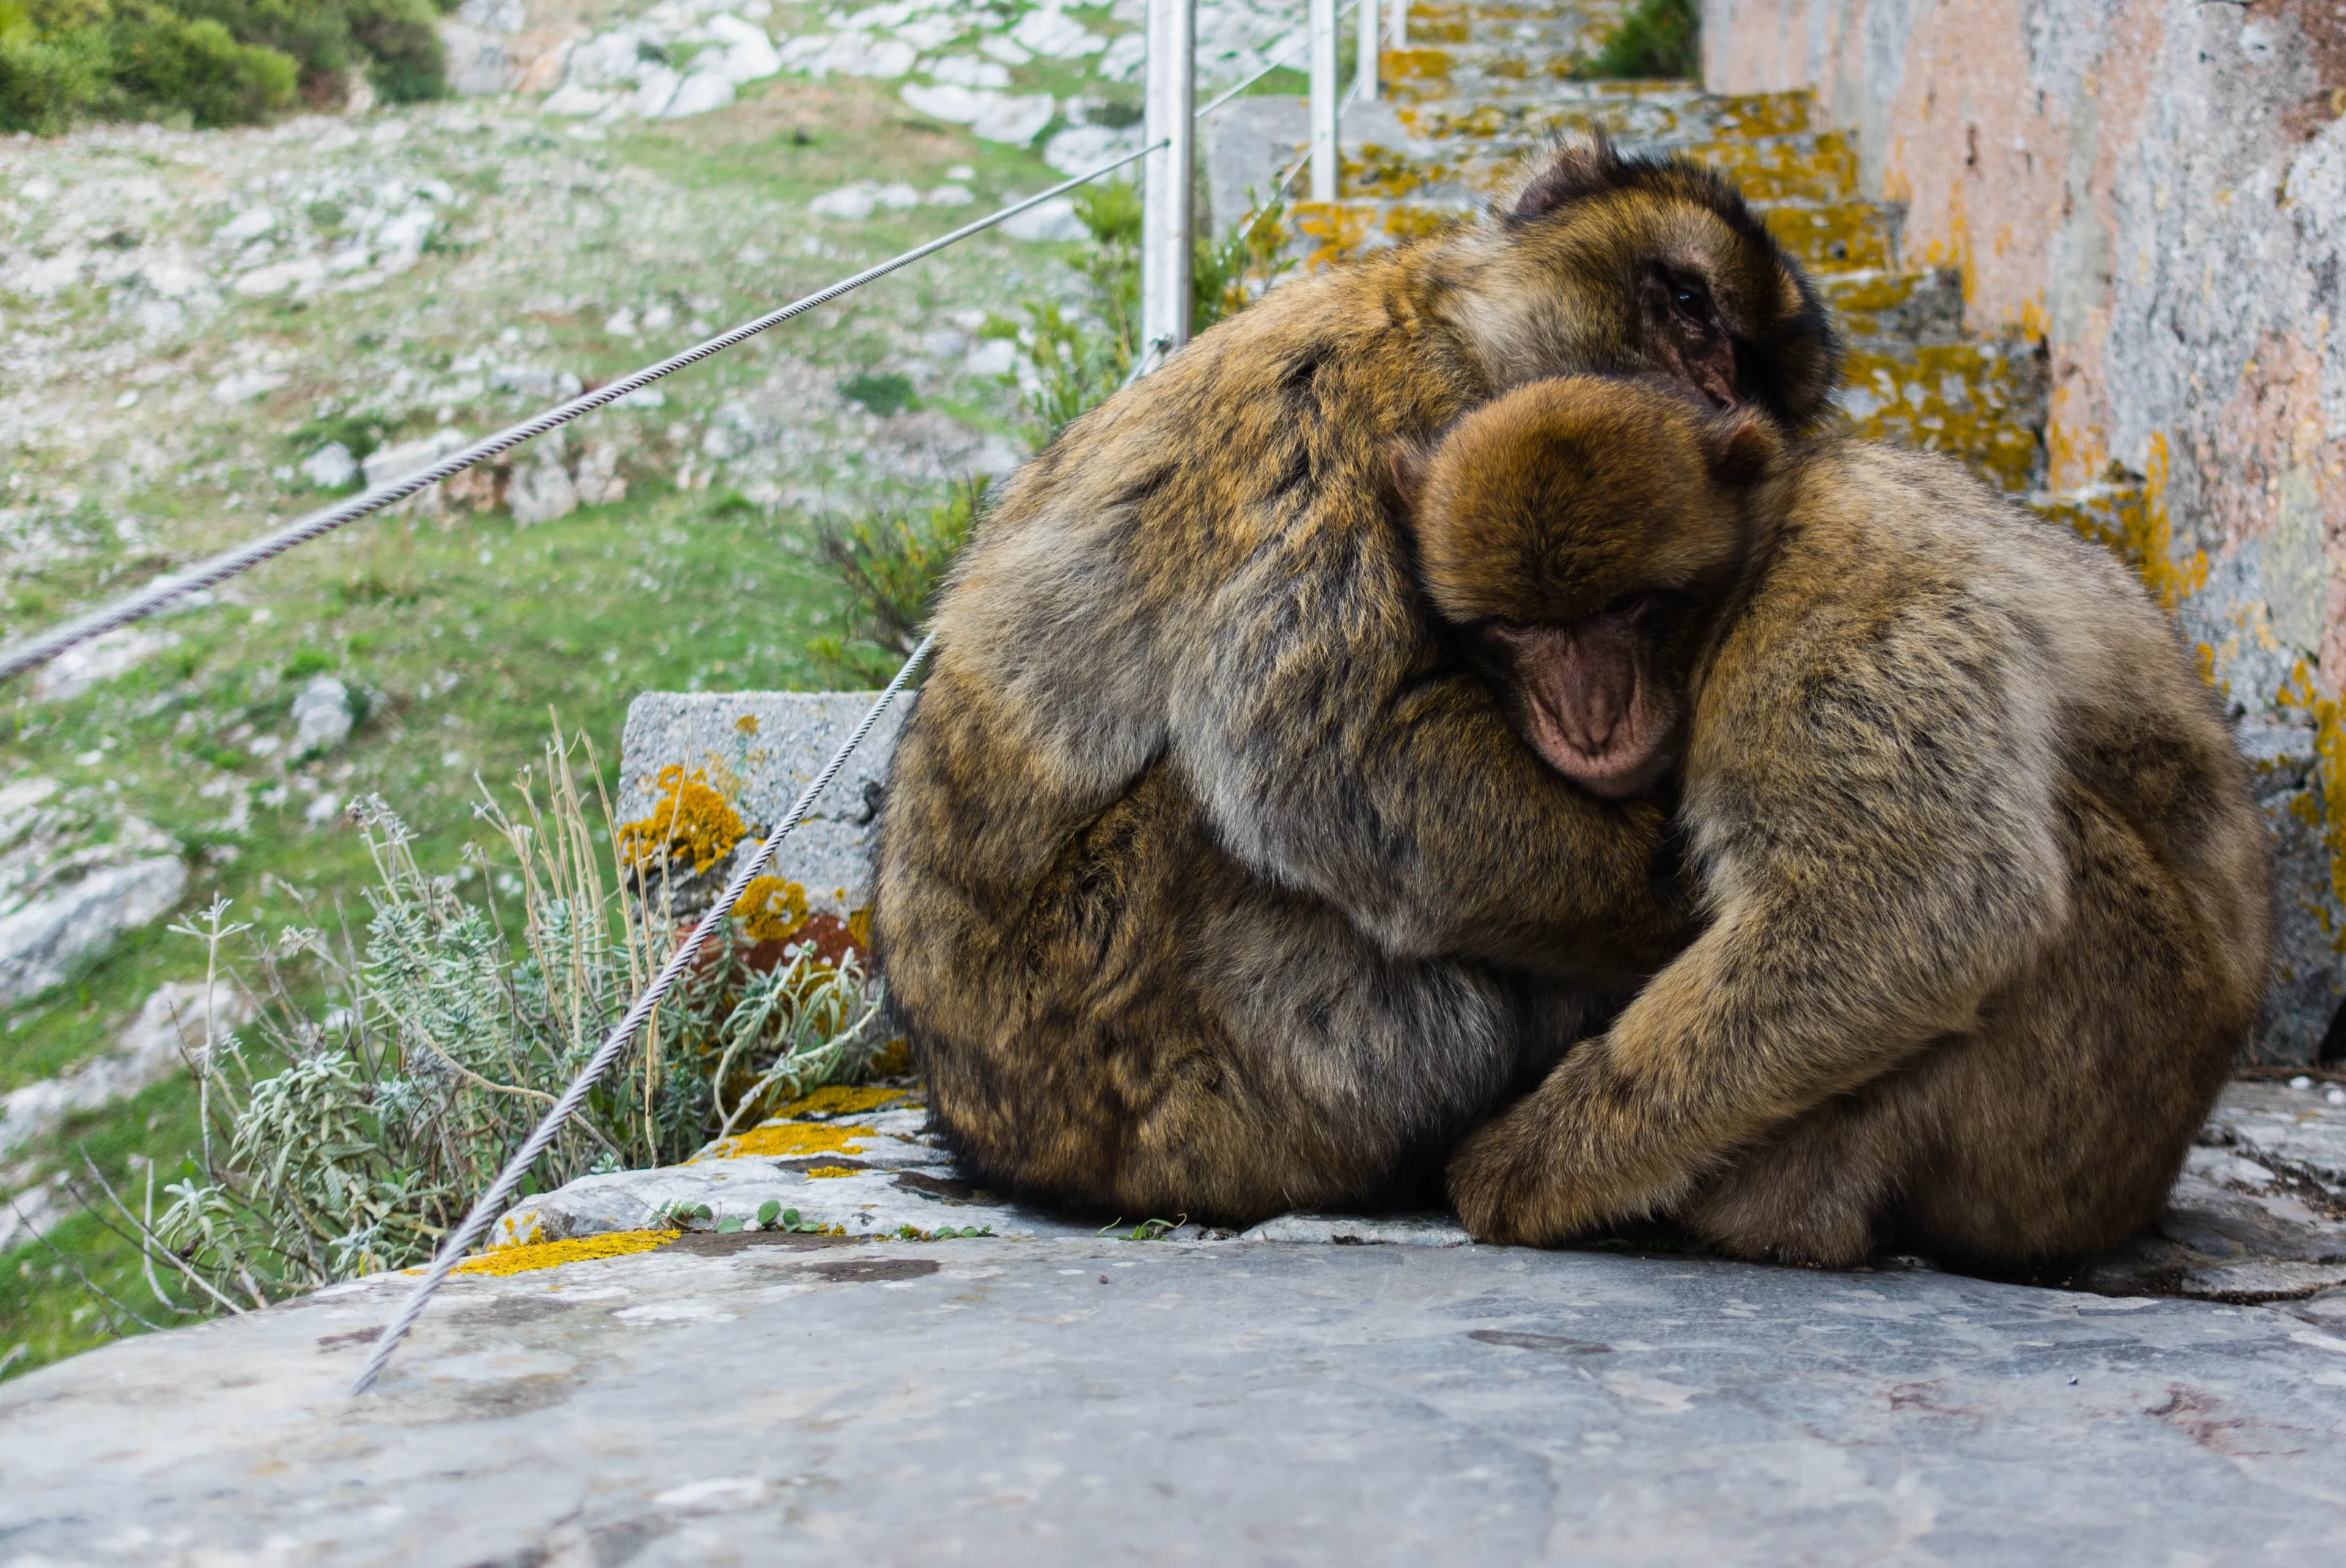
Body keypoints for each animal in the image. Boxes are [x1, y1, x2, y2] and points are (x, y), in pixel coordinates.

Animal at [870, 137, 1843, 1226]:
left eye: (1752, 366)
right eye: (1685, 303)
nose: (1719, 397)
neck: (1447, 331)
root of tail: (992, 1138)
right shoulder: (1357, 415)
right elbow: (1329, 755)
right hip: (1167, 1058)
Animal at [1398, 374, 2272, 1269]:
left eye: (1630, 608)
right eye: (1516, 627)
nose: (1591, 721)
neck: (1754, 560)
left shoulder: (1826, 623)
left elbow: (1922, 904)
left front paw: (1526, 1166)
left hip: (2096, 1115)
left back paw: (1786, 1217)